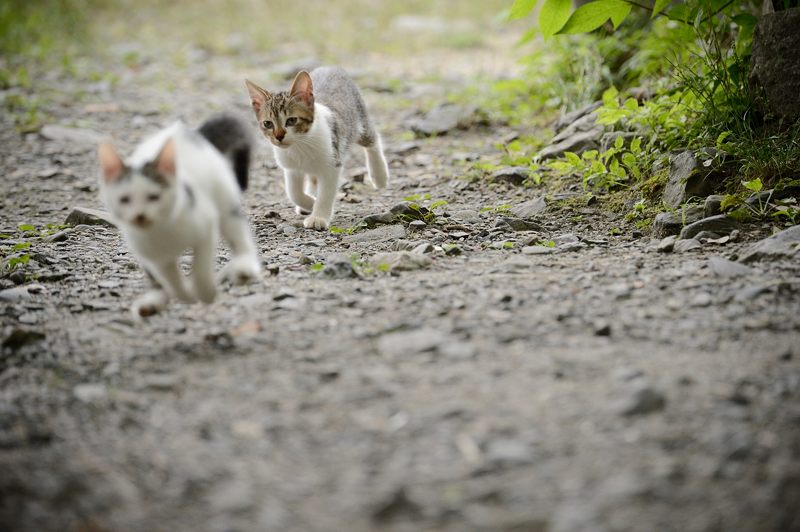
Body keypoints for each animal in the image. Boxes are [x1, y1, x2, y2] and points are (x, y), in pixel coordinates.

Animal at [96, 115, 260, 316]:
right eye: (125, 199)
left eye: (154, 196)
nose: (140, 216)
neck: (162, 231)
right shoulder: (154, 257)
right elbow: (171, 280)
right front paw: (186, 295)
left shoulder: (205, 226)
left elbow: (201, 265)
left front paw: (205, 292)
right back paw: (151, 303)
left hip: (224, 198)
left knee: (237, 232)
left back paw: (245, 266)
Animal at [247, 66, 390, 229]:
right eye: (268, 124)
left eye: (291, 120)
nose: (278, 137)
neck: (300, 144)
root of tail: (330, 67)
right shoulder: (291, 168)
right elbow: (293, 192)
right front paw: (310, 202)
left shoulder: (332, 163)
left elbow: (325, 193)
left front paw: (318, 216)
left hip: (358, 122)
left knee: (373, 140)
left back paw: (379, 175)